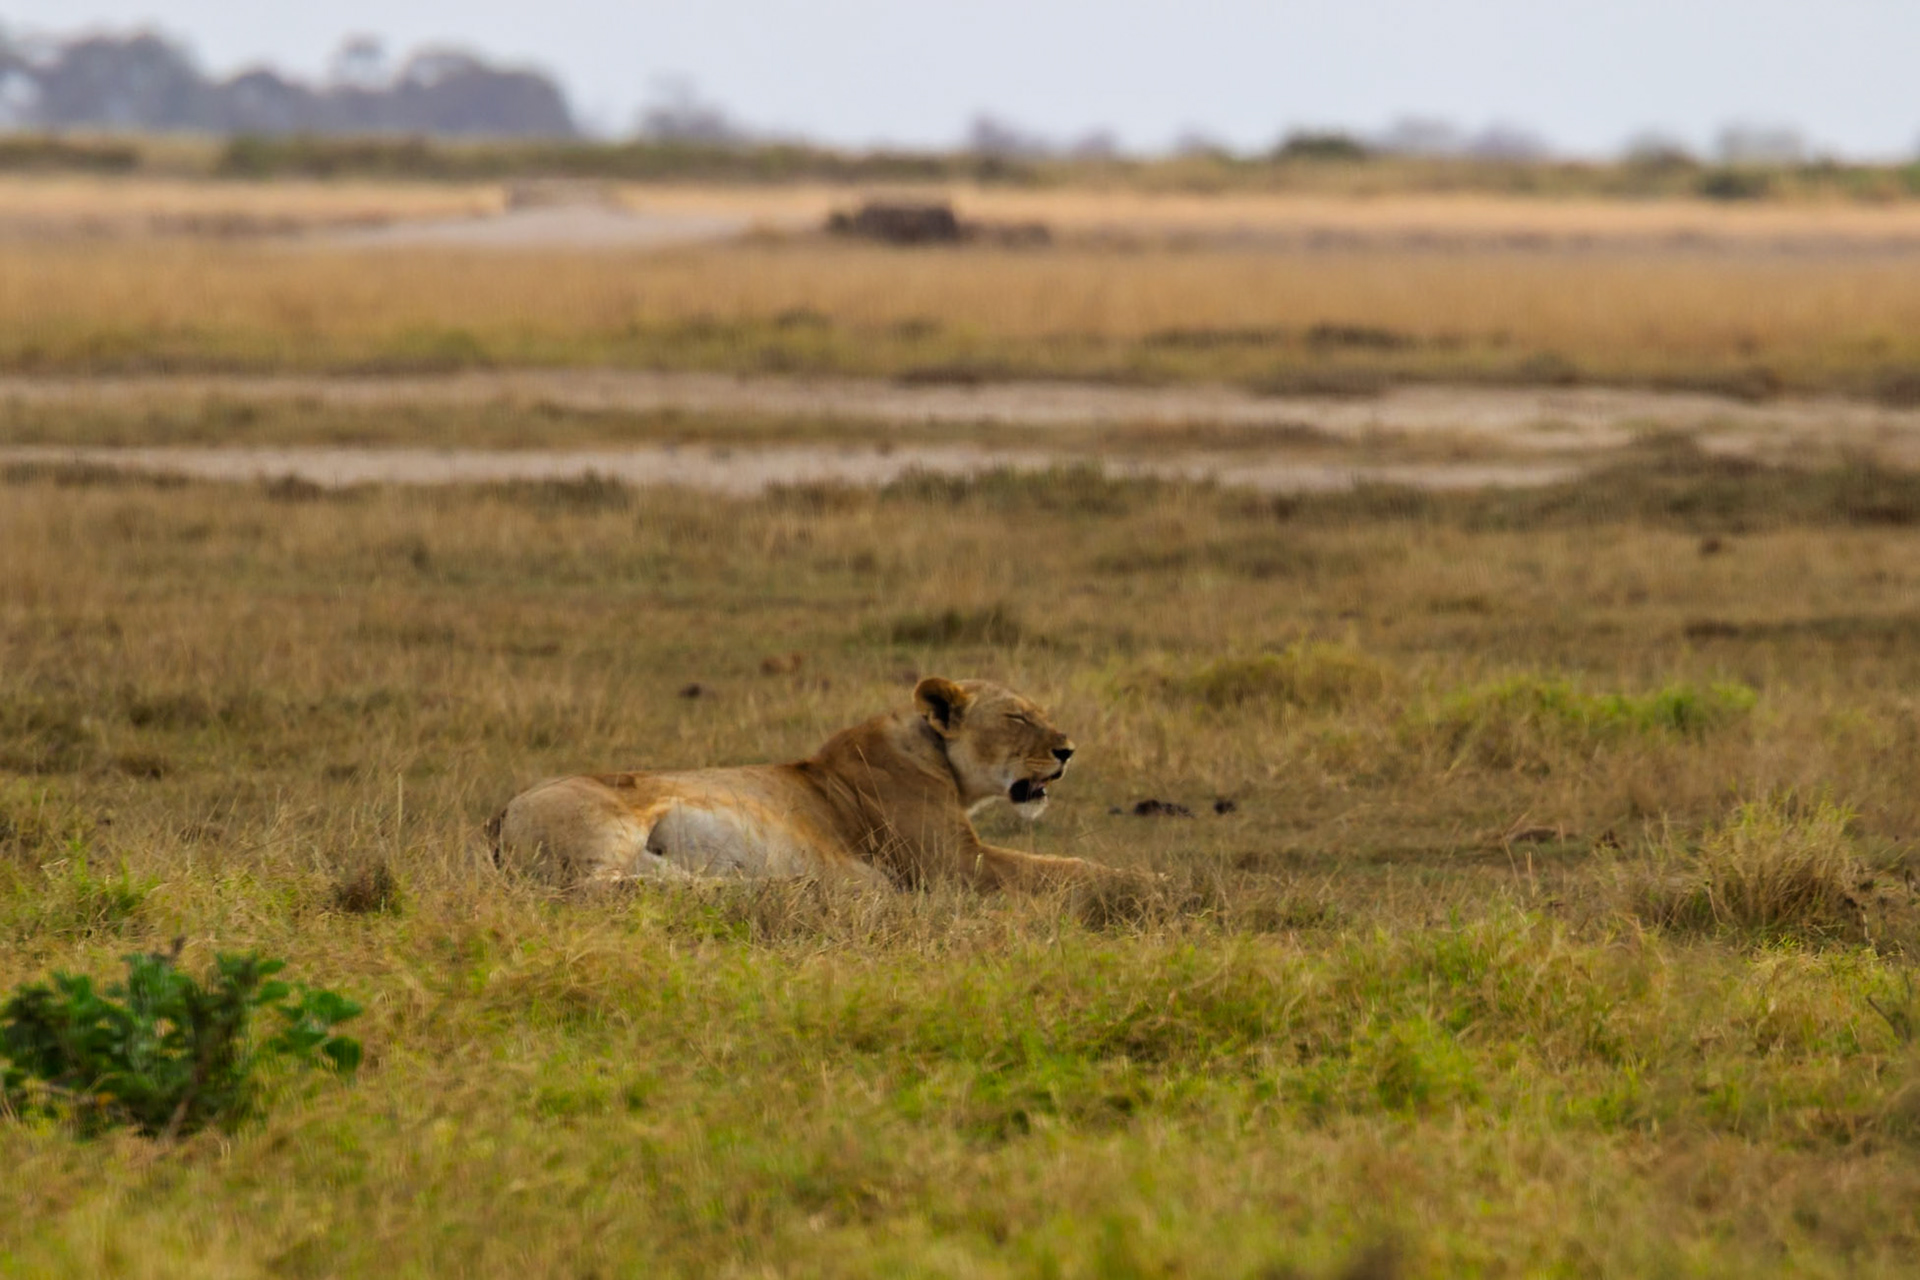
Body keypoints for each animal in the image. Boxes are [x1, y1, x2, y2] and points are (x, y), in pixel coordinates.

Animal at [490, 676, 1134, 891]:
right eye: (1017, 718)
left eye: (1041, 713)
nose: (1068, 751)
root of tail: (500, 812)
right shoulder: (954, 865)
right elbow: (1064, 867)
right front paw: (1144, 882)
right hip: (609, 825)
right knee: (598, 890)